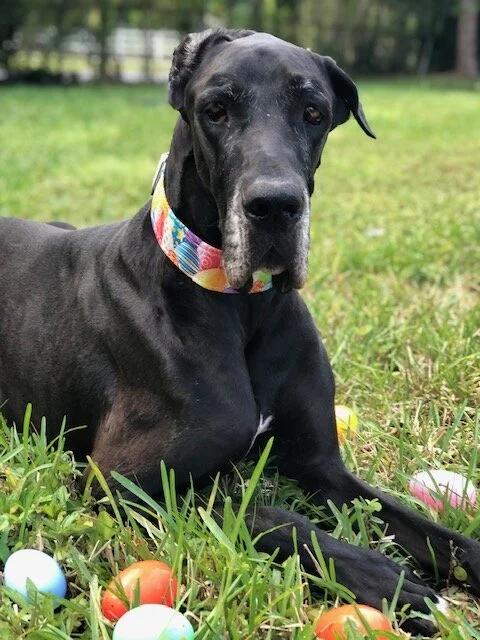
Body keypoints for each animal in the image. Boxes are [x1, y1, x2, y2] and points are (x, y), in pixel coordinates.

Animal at [0, 29, 478, 634]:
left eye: (314, 112)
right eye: (216, 110)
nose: (275, 206)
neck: (244, 309)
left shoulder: (324, 469)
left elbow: (423, 526)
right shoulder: (121, 482)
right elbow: (271, 514)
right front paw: (397, 584)